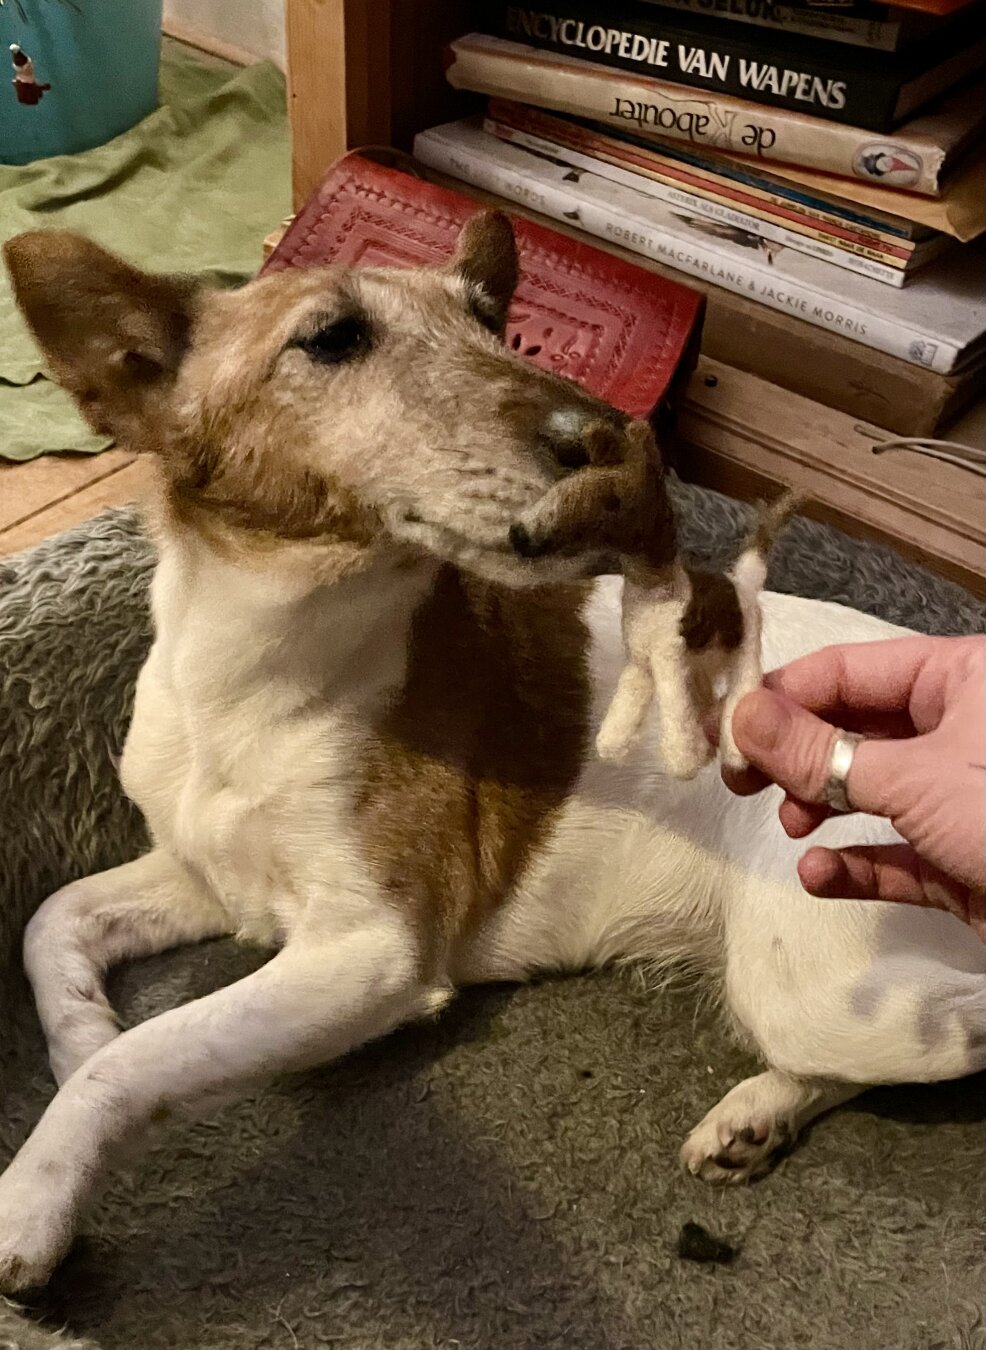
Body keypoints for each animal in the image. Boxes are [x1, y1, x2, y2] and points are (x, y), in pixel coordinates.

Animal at [1, 213, 982, 1293]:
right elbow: (54, 923)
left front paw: (35, 1192)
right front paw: (80, 1036)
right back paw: (753, 1121)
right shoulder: (215, 878)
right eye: (332, 338)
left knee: (951, 1031)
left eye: (488, 323)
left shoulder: (374, 949)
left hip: (811, 966)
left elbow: (141, 1059)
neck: (251, 677)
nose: (610, 437)